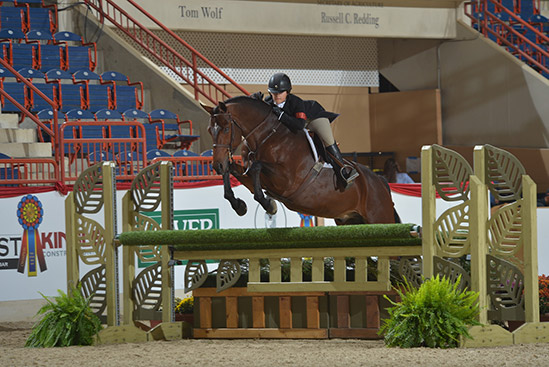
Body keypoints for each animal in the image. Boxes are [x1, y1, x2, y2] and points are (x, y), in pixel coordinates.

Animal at [203, 96, 396, 226]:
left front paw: (269, 205)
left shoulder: (286, 182)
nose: (216, 165)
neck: (265, 136)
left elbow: (256, 167)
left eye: (226, 128)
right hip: (350, 221)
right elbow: (235, 171)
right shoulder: (253, 176)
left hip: (380, 218)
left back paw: (347, 173)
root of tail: (380, 181)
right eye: (209, 130)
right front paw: (239, 205)